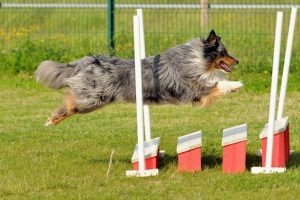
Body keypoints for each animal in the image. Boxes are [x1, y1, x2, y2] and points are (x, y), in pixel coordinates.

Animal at [35, 29, 241, 126]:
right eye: (225, 52)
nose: (238, 60)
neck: (198, 57)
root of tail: (91, 60)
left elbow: (217, 81)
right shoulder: (194, 89)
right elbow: (217, 84)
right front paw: (237, 84)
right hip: (94, 99)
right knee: (71, 104)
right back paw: (50, 121)